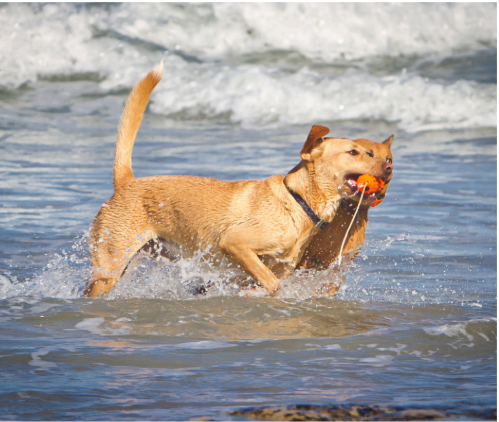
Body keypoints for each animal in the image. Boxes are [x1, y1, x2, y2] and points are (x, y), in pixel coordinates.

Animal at [83, 64, 394, 298]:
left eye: (371, 152)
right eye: (355, 152)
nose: (388, 167)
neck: (297, 201)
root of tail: (127, 182)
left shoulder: (278, 264)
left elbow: (266, 279)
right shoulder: (234, 244)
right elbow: (272, 283)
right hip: (109, 266)